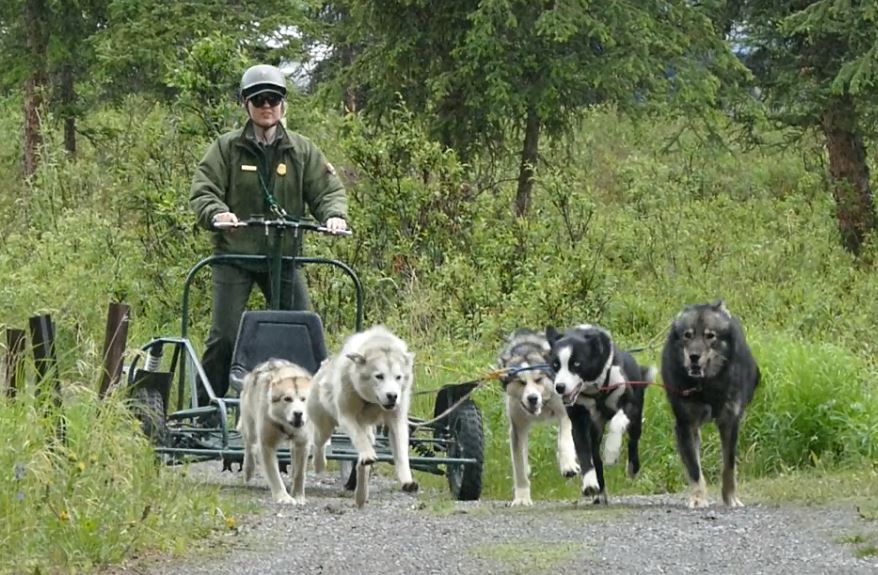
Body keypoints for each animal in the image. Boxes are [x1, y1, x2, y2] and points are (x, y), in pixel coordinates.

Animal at [237, 360, 312, 504]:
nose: (298, 414)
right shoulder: (266, 444)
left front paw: (298, 495)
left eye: (304, 399)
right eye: (287, 399)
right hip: (250, 428)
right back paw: (248, 469)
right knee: (249, 445)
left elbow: (300, 473)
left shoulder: (302, 442)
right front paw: (283, 497)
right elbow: (274, 474)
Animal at [308, 324, 422, 508]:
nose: (392, 396)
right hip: (323, 425)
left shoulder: (397, 419)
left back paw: (361, 494)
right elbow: (359, 437)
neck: (371, 403)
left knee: (361, 467)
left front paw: (407, 480)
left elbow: (401, 451)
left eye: (398, 377)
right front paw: (368, 454)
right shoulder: (347, 416)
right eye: (379, 376)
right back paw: (319, 464)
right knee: (319, 443)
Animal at [498, 330, 580, 506]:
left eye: (538, 379)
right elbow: (519, 466)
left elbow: (564, 441)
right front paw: (522, 497)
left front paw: (568, 465)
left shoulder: (565, 414)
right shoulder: (517, 427)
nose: (532, 398)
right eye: (521, 382)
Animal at [548, 324, 656, 504]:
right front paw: (589, 483)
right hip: (595, 430)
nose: (560, 387)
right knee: (595, 456)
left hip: (635, 421)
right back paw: (600, 492)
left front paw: (611, 452)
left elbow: (617, 423)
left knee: (633, 441)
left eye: (576, 364)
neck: (595, 390)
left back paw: (632, 467)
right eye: (555, 364)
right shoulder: (579, 421)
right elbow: (584, 453)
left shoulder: (629, 404)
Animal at [664, 302, 760, 508]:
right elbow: (694, 468)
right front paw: (698, 498)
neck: (706, 385)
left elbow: (729, 465)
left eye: (710, 336)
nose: (694, 356)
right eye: (687, 335)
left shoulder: (730, 422)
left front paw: (730, 497)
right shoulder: (686, 424)